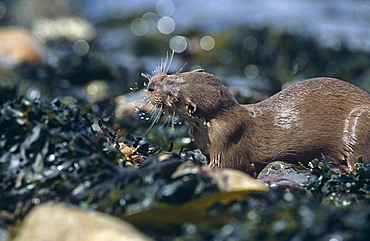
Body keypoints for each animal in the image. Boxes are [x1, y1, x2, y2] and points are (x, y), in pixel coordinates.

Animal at [146, 67, 370, 176]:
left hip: (359, 123)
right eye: (171, 76)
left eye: (172, 97)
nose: (150, 86)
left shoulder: (228, 142)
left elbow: (226, 167)